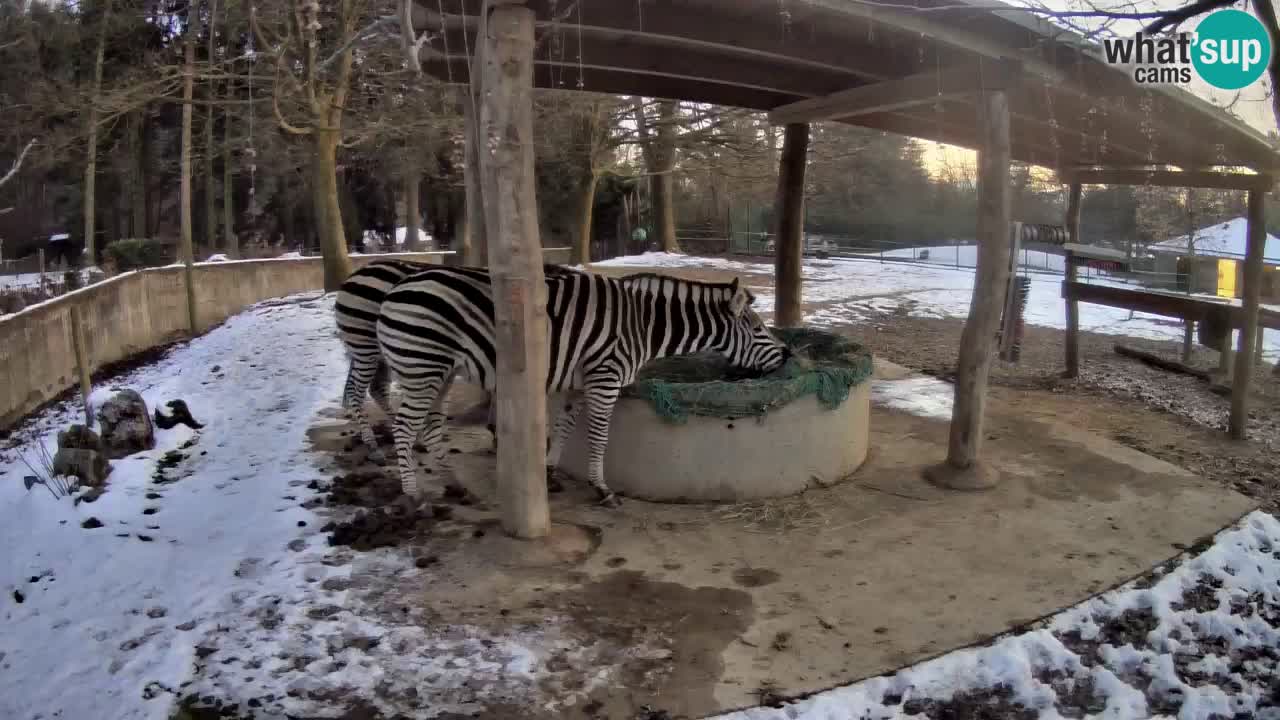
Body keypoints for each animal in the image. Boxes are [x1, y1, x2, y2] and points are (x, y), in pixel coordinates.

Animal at [373, 263, 788, 504]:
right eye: (757, 329)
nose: (787, 356)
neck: (642, 325)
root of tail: (395, 290)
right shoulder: (605, 377)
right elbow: (598, 436)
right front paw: (602, 489)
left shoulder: (577, 381)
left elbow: (564, 426)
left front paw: (550, 473)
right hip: (423, 367)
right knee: (404, 427)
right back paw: (413, 494)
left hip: (440, 372)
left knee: (431, 426)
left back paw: (455, 485)